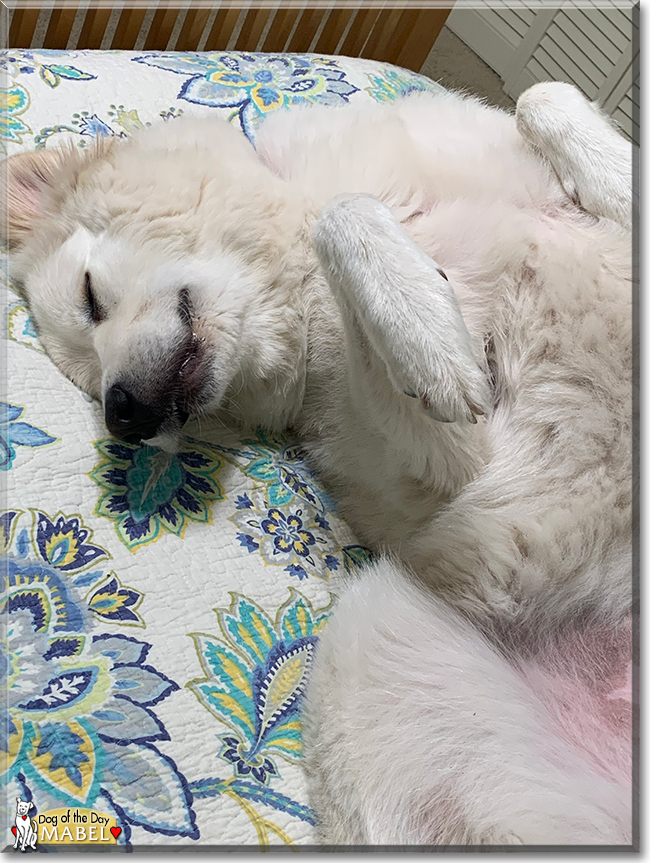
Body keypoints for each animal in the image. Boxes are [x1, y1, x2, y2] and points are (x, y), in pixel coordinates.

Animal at [2, 77, 632, 848]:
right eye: (90, 386)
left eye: (90, 297)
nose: (124, 414)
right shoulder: (459, 468)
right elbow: (348, 225)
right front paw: (431, 335)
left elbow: (540, 96)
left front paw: (615, 180)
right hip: (375, 630)